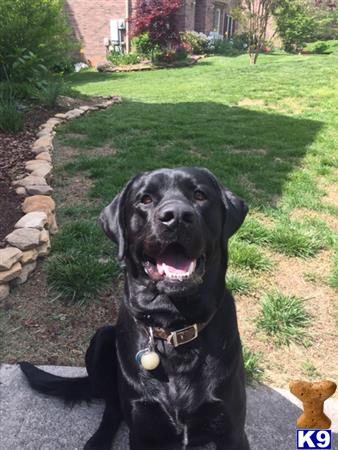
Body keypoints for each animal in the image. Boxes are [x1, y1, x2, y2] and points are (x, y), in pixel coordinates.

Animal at [20, 168, 248, 450]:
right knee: (113, 407)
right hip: (102, 339)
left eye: (199, 195)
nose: (177, 217)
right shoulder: (142, 428)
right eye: (145, 199)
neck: (174, 327)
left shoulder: (233, 430)